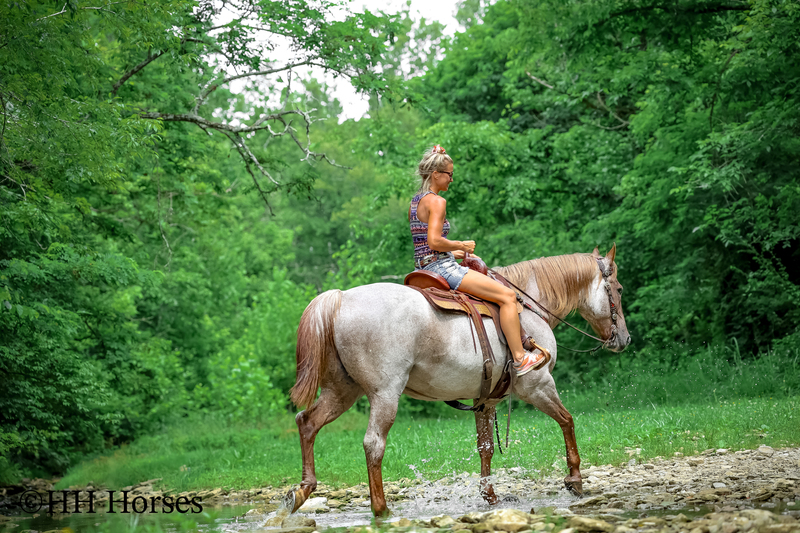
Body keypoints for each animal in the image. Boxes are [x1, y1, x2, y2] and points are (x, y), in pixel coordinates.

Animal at [284, 245, 631, 517]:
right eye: (618, 289)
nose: (624, 339)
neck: (526, 306)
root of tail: (340, 299)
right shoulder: (539, 386)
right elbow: (567, 421)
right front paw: (575, 479)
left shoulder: (485, 400)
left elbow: (486, 447)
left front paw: (490, 497)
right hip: (384, 394)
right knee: (373, 444)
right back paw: (381, 509)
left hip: (341, 391)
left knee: (307, 422)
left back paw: (301, 492)